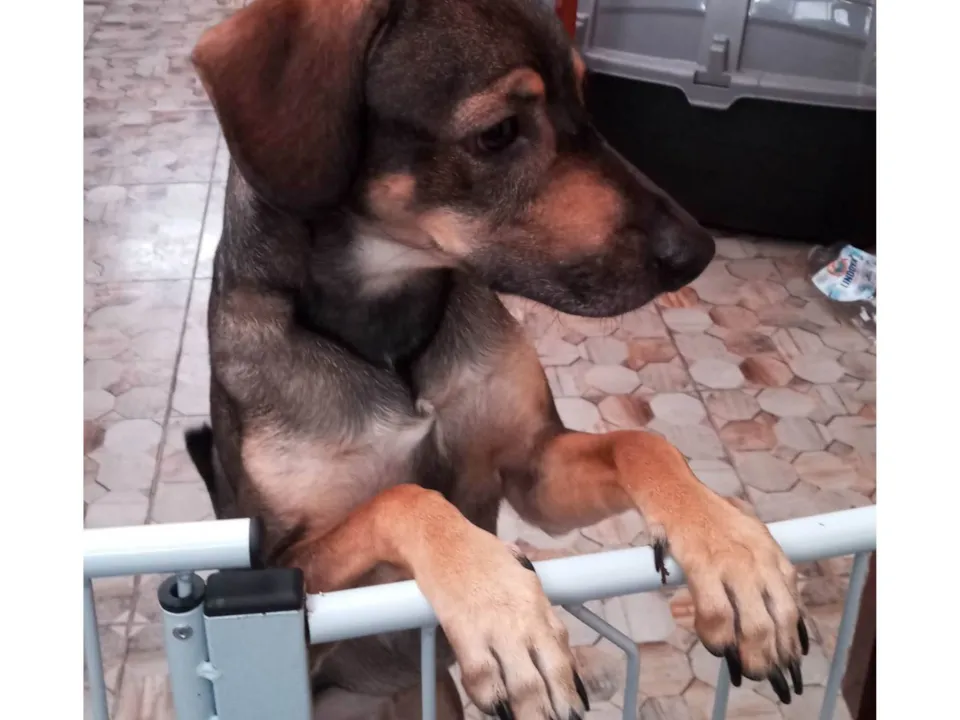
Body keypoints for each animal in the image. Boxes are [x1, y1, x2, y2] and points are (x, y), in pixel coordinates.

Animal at [184, 0, 809, 717]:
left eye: (584, 96)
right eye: (499, 132)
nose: (698, 252)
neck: (391, 334)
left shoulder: (533, 469)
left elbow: (642, 443)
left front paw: (731, 547)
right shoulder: (286, 583)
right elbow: (404, 498)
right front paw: (504, 610)